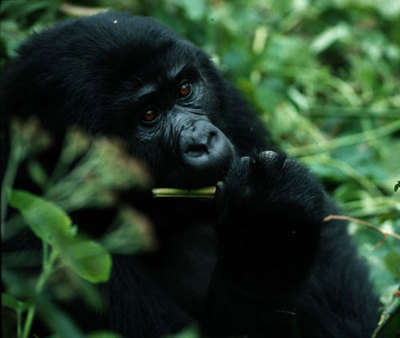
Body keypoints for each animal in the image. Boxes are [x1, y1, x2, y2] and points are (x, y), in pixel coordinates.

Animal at [2, 11, 378, 338]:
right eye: (149, 115)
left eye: (184, 89)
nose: (202, 140)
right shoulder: (37, 234)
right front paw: (266, 228)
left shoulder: (231, 103)